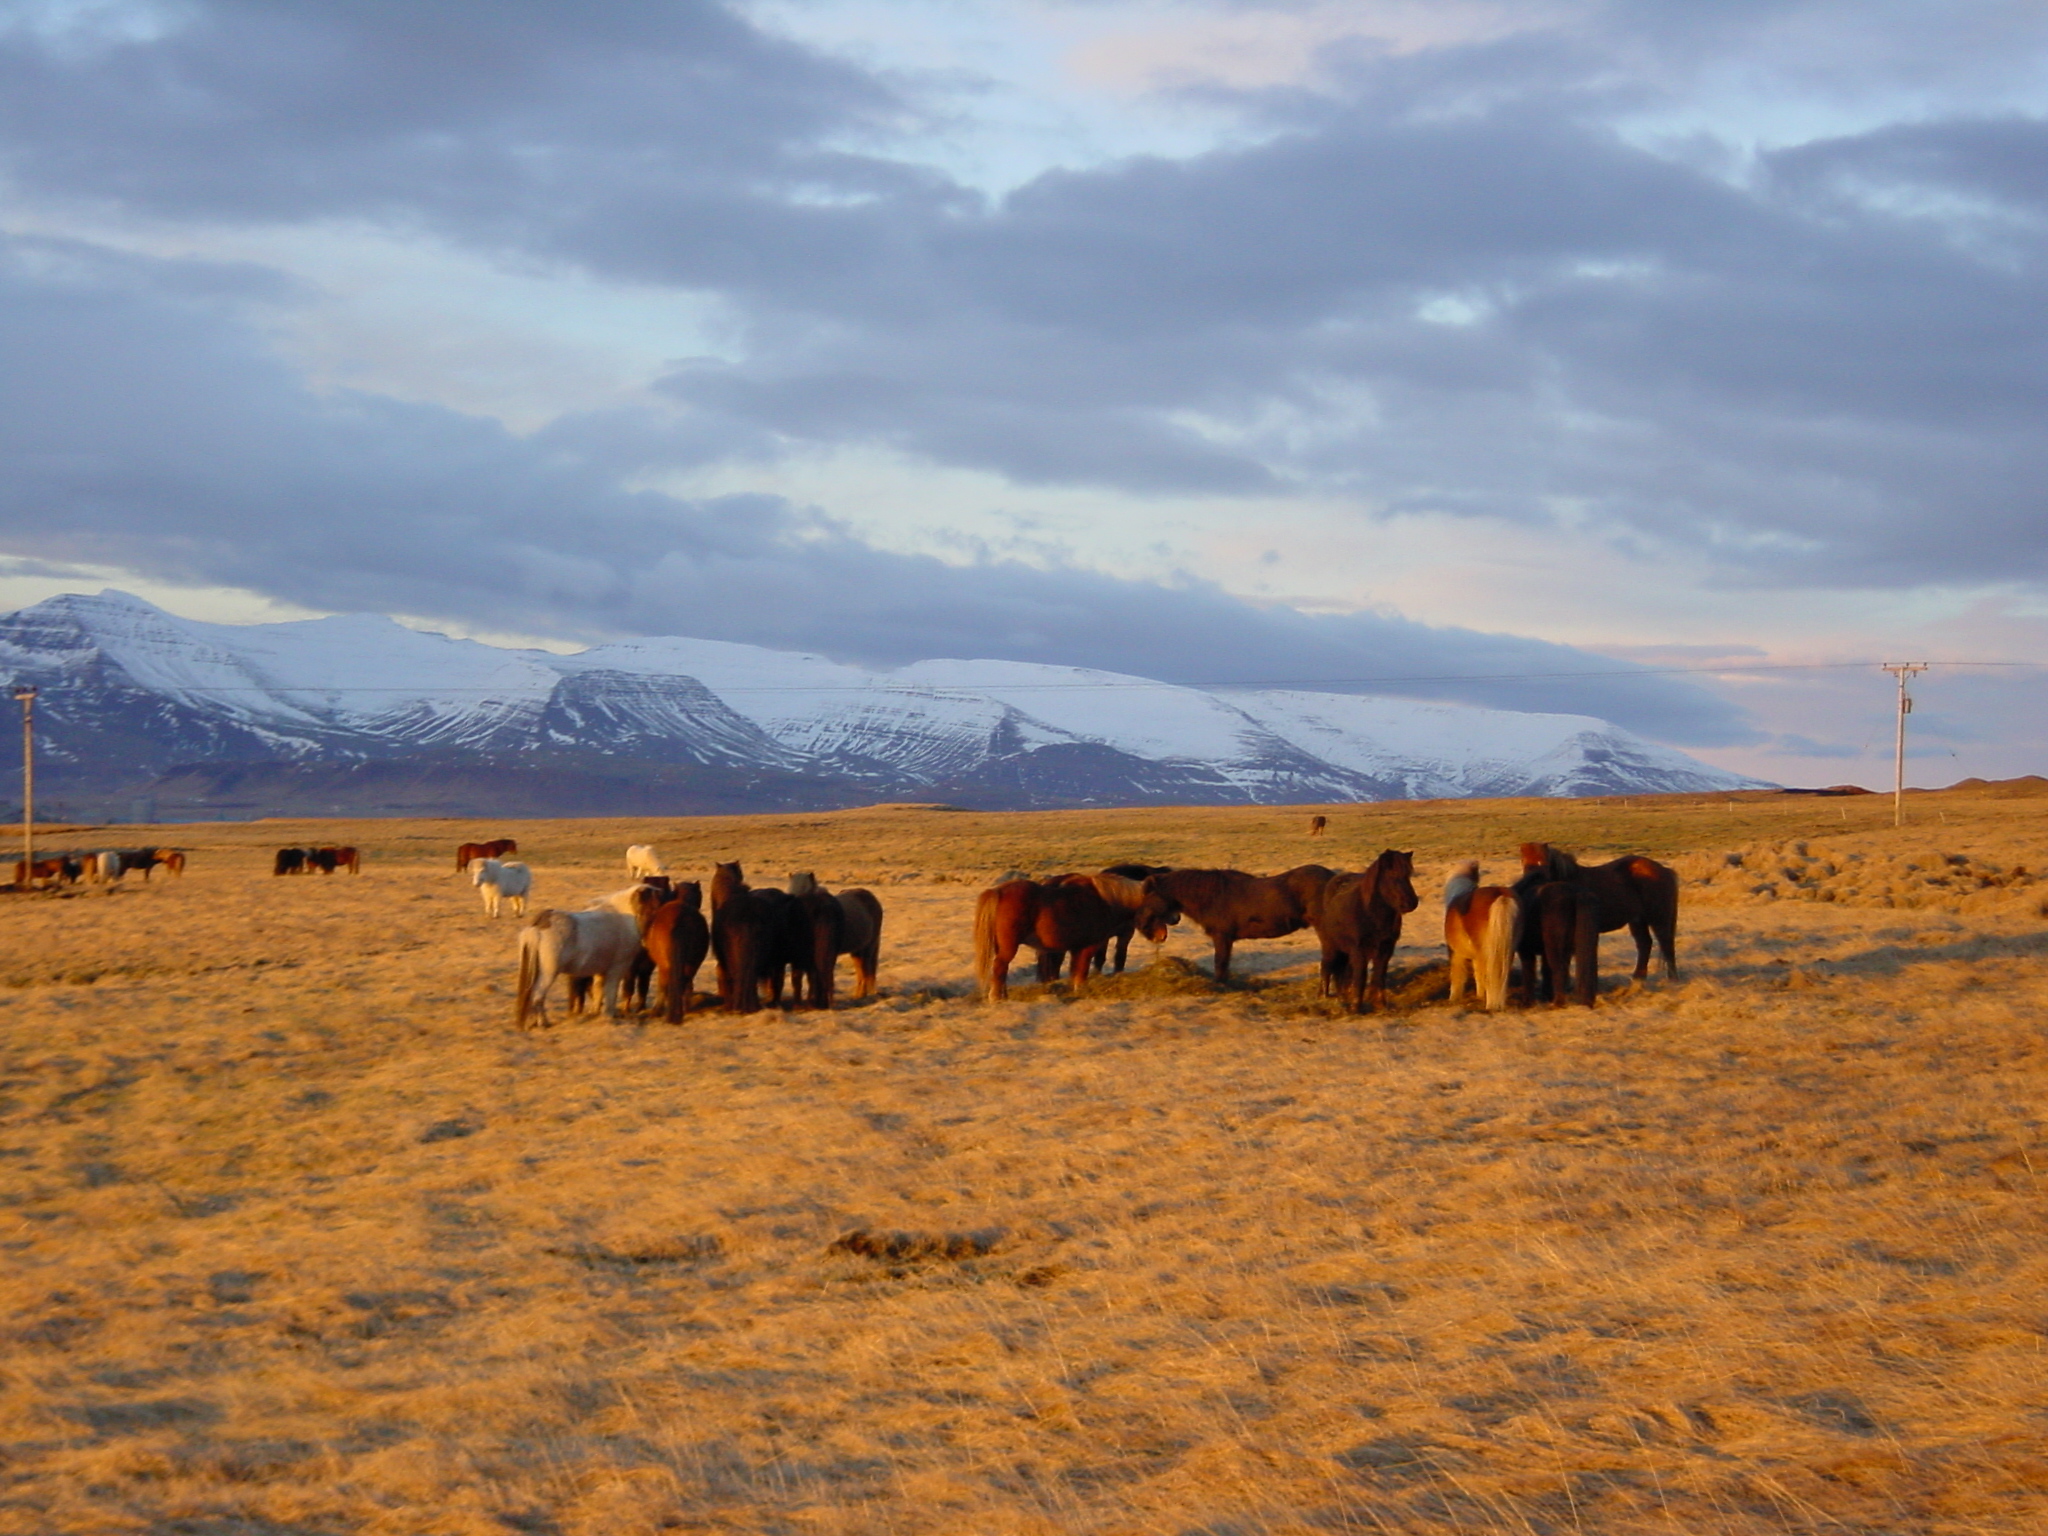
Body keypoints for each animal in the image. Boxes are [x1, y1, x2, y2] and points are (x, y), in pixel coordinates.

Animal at [1130, 868, 1335, 987]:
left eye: (1147, 897)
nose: (1141, 926)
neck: (1212, 896)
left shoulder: (1222, 937)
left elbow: (1220, 963)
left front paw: (1220, 986)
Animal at [1310, 856, 1425, 1011]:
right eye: (1392, 875)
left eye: (1408, 875)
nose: (1411, 903)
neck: (1370, 914)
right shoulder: (1360, 951)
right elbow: (1361, 977)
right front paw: (1356, 1008)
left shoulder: (1385, 949)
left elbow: (1379, 975)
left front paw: (1380, 1004)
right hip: (1330, 945)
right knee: (1327, 966)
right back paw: (1324, 997)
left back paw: (1342, 996)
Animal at [1441, 860, 1523, 1015]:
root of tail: (1501, 895)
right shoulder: (1477, 956)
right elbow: (1478, 974)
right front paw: (1479, 995)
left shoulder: (1456, 954)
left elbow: (1457, 976)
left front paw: (1453, 999)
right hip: (1507, 949)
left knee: (1490, 976)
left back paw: (1491, 1005)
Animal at [1523, 847, 1679, 1003]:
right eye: (1524, 861)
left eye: (1543, 861)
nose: (1529, 884)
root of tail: (1664, 870)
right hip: (1637, 920)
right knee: (1645, 944)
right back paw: (1637, 981)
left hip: (1658, 919)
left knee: (1666, 944)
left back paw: (1672, 981)